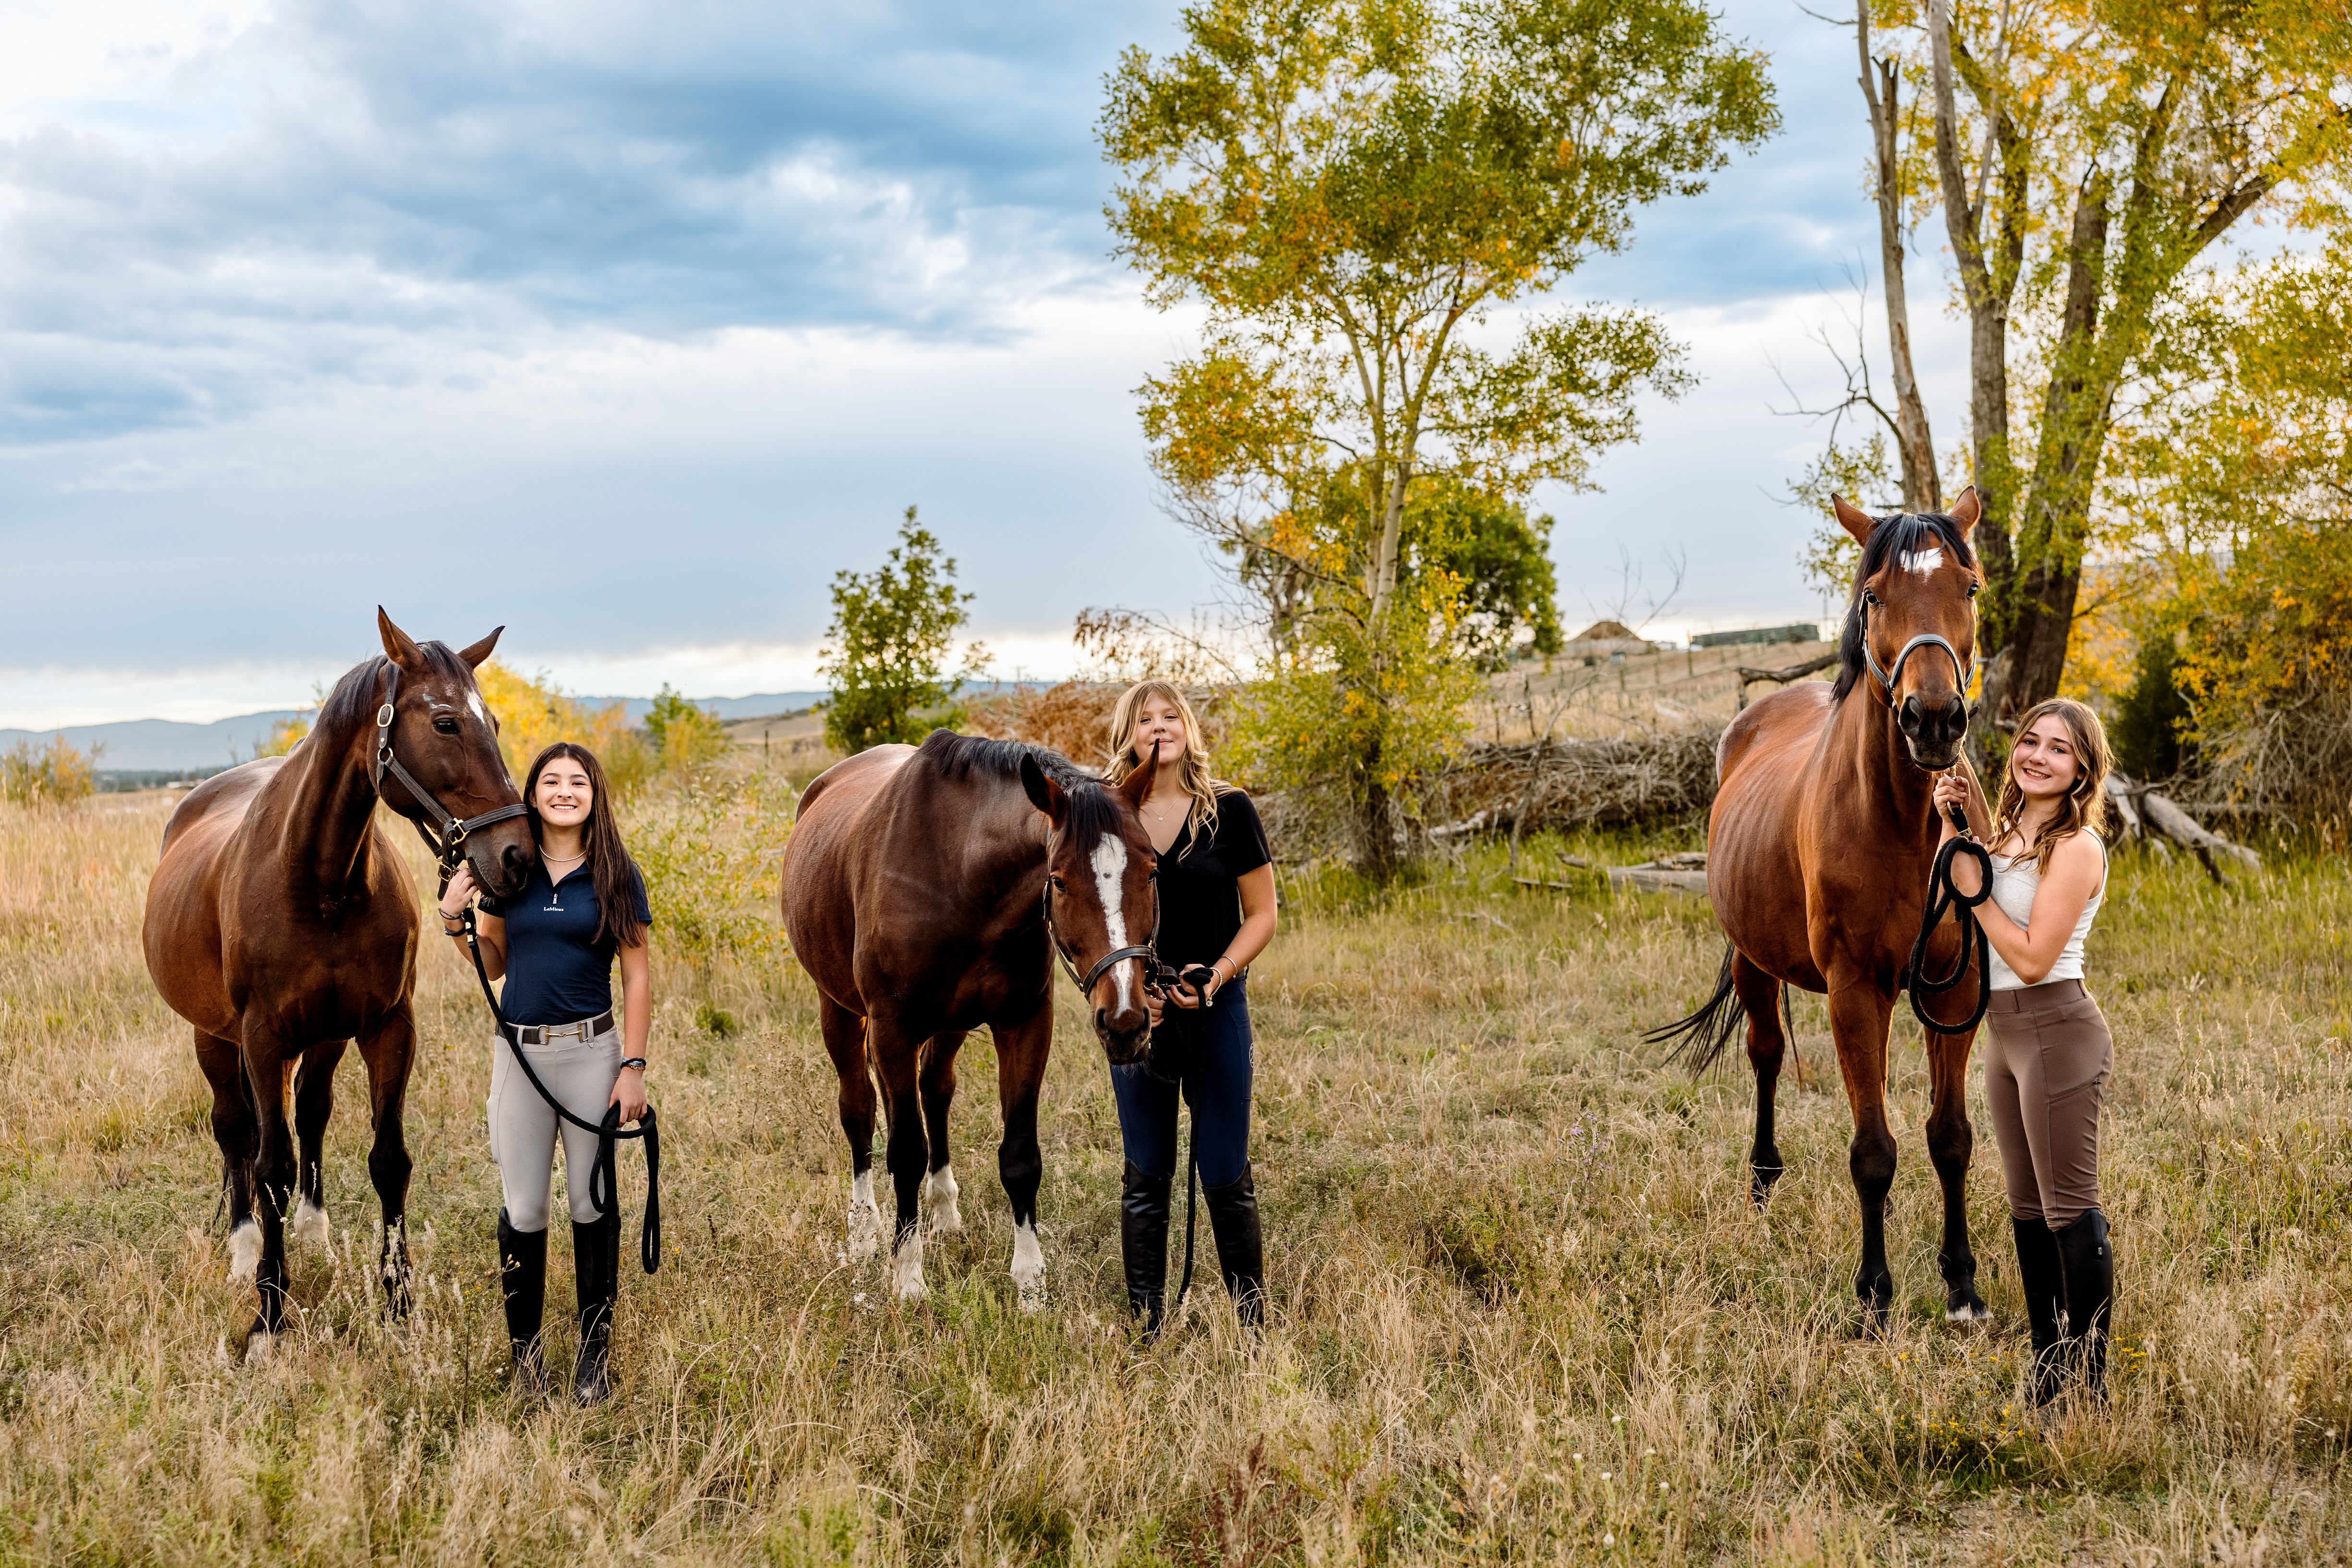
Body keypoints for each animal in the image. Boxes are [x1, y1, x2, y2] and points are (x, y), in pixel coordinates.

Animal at [144, 611, 535, 1354]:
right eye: (446, 722)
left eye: (496, 722)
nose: (517, 858)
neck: (321, 882)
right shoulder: (261, 1038)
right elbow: (269, 1167)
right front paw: (267, 1319)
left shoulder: (388, 1027)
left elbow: (388, 1159)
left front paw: (400, 1307)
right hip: (213, 1038)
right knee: (235, 1132)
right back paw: (243, 1252)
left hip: (324, 1039)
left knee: (313, 1114)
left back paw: (315, 1237)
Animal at [782, 730, 1161, 1305]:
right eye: (1059, 880)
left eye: (1152, 870)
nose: (1124, 1022)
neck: (958, 874)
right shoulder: (892, 1031)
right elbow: (904, 1152)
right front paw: (908, 1277)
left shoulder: (1025, 1023)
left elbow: (1021, 1156)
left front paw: (1030, 1282)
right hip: (840, 1011)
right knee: (859, 1111)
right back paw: (864, 1232)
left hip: (950, 1025)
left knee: (935, 1089)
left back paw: (943, 1211)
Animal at [1652, 490, 1992, 1329]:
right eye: (1873, 596)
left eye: (1968, 587)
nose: (1932, 719)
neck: (1903, 823)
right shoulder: (1852, 989)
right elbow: (1870, 1151)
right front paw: (1873, 1295)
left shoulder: (1955, 991)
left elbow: (1949, 1137)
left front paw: (1961, 1284)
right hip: (1754, 963)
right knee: (1766, 1056)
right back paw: (1762, 1180)